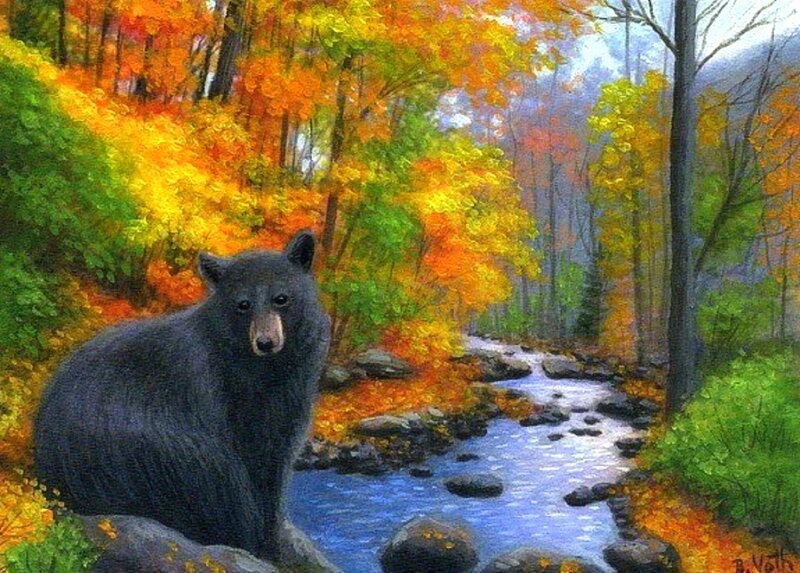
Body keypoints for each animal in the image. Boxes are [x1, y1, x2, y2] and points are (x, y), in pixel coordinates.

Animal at [34, 230, 332, 566]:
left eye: (281, 298)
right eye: (242, 304)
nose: (266, 342)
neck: (264, 369)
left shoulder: (290, 397)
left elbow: (274, 466)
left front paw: (273, 542)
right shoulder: (225, 394)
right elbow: (244, 464)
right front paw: (261, 545)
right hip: (139, 453)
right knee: (216, 476)